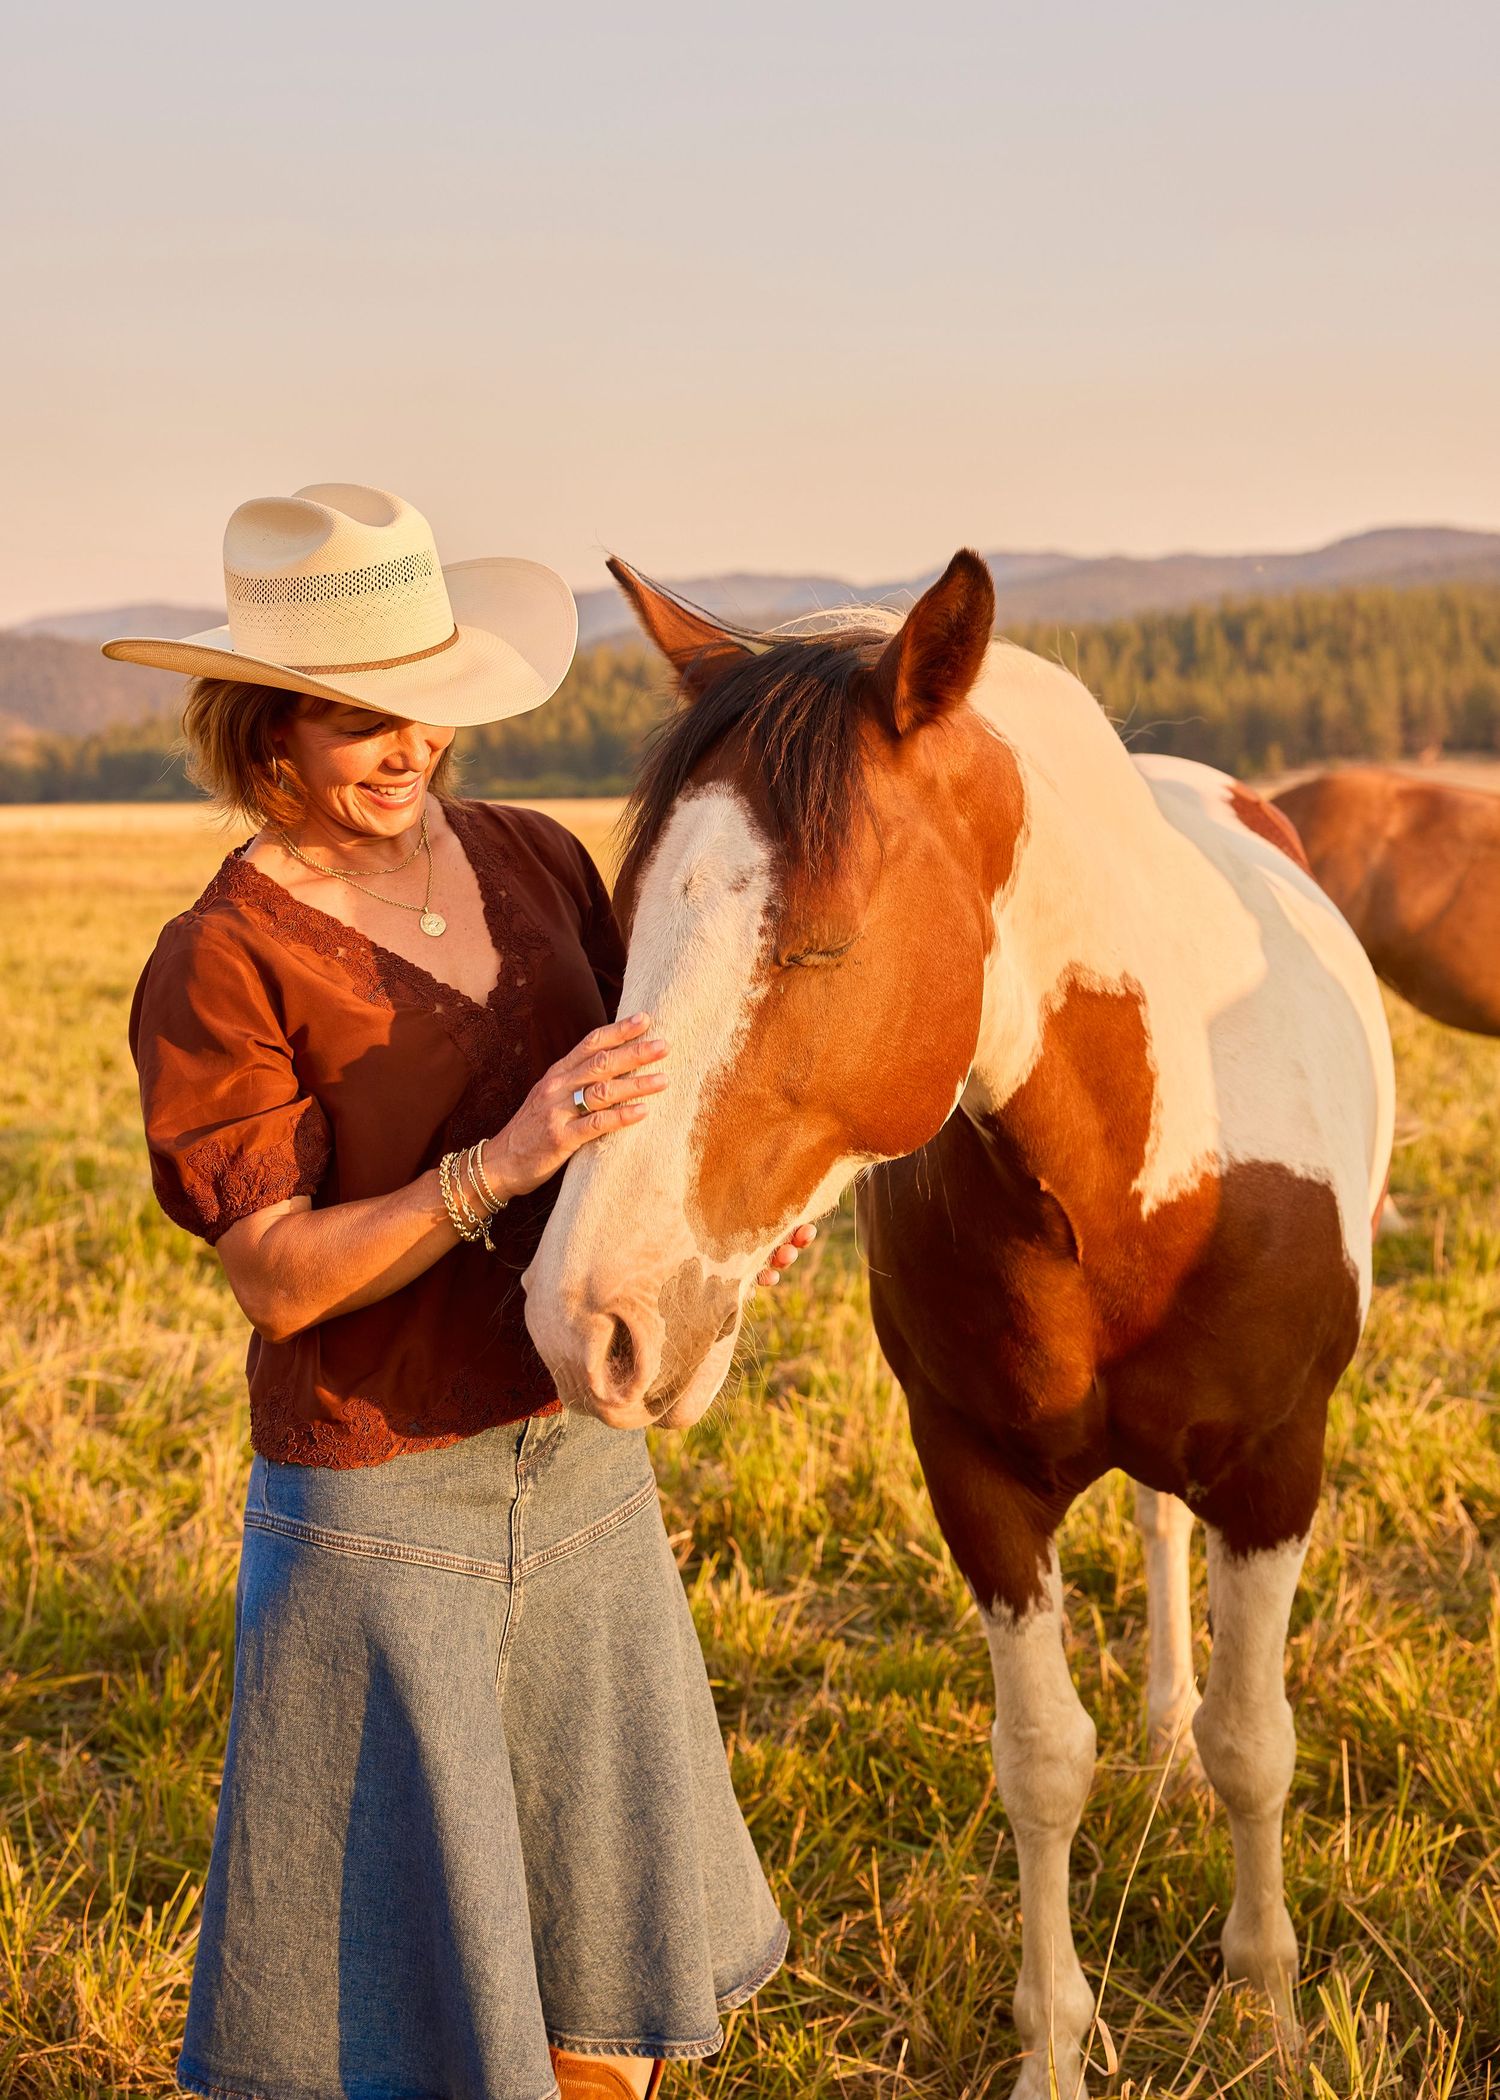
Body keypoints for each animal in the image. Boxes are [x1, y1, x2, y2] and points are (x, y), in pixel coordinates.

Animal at [523, 552, 1395, 2097]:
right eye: (627, 921)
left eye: (824, 940)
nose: (590, 1325)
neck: (1144, 1160)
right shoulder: (977, 1478)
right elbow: (1043, 1763)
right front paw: (1056, 2046)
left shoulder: (1277, 1470)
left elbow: (1257, 1747)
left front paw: (1269, 2018)